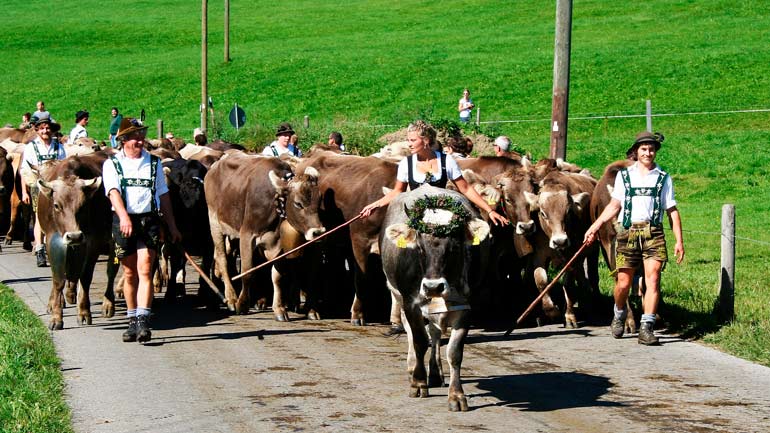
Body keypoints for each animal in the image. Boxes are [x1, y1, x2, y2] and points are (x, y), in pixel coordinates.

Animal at [204, 152, 324, 318]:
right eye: (298, 203)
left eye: (319, 202)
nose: (318, 232)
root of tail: (216, 165)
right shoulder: (247, 235)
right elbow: (247, 271)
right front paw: (242, 304)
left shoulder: (279, 244)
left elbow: (277, 276)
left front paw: (279, 308)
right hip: (214, 222)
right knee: (222, 258)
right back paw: (231, 298)